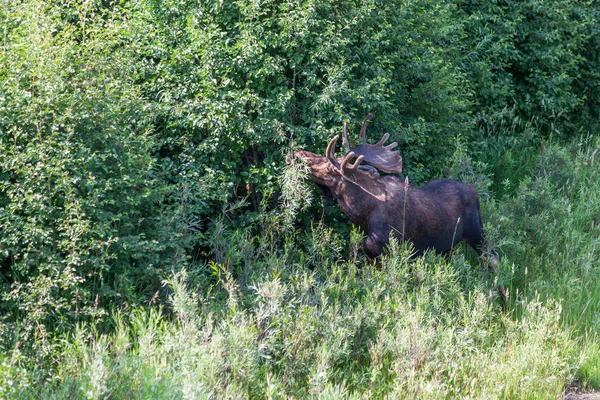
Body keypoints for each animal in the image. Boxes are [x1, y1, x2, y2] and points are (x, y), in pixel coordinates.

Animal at [292, 114, 500, 268]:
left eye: (328, 167)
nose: (297, 154)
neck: (362, 214)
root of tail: (476, 192)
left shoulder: (388, 248)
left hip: (477, 232)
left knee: (494, 257)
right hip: (448, 246)